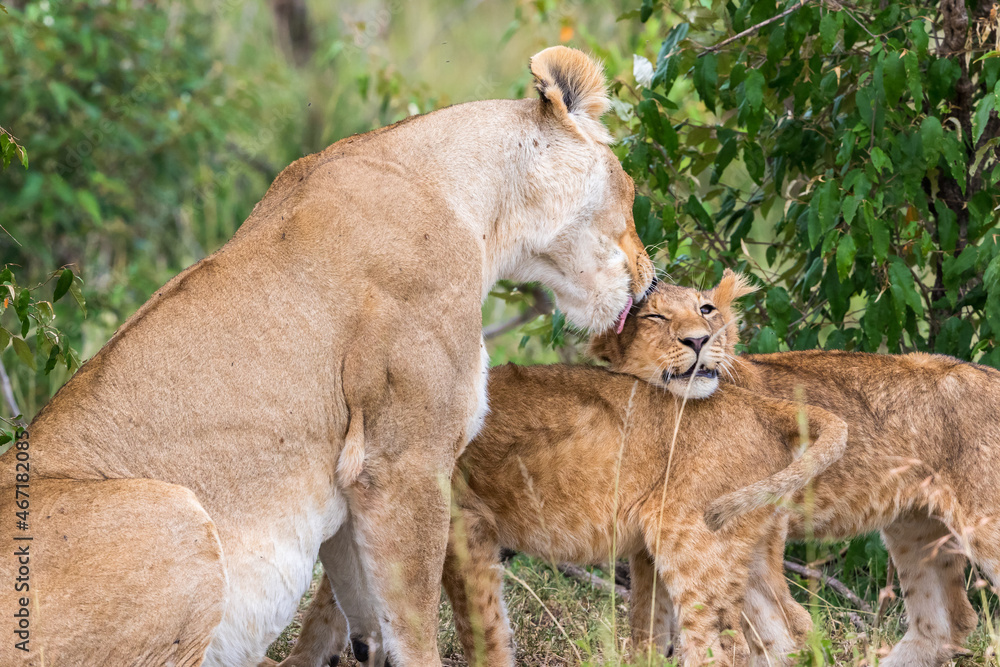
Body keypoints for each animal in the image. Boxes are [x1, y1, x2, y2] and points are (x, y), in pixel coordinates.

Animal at [0, 47, 655, 667]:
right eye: (631, 195)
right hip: (173, 513)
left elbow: (365, 620)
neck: (481, 206)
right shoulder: (403, 461)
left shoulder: (348, 484)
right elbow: (414, 624)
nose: (651, 280)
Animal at [276, 277, 847, 667]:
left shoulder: (465, 525)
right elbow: (330, 608)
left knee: (723, 649)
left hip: (693, 541)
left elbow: (480, 630)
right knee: (790, 629)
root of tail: (760, 403)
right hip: (749, 545)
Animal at [592, 270, 1000, 667]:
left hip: (984, 525)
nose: (698, 340)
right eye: (655, 317)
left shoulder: (753, 526)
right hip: (913, 525)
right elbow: (648, 622)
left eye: (705, 309)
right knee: (945, 622)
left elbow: (772, 630)